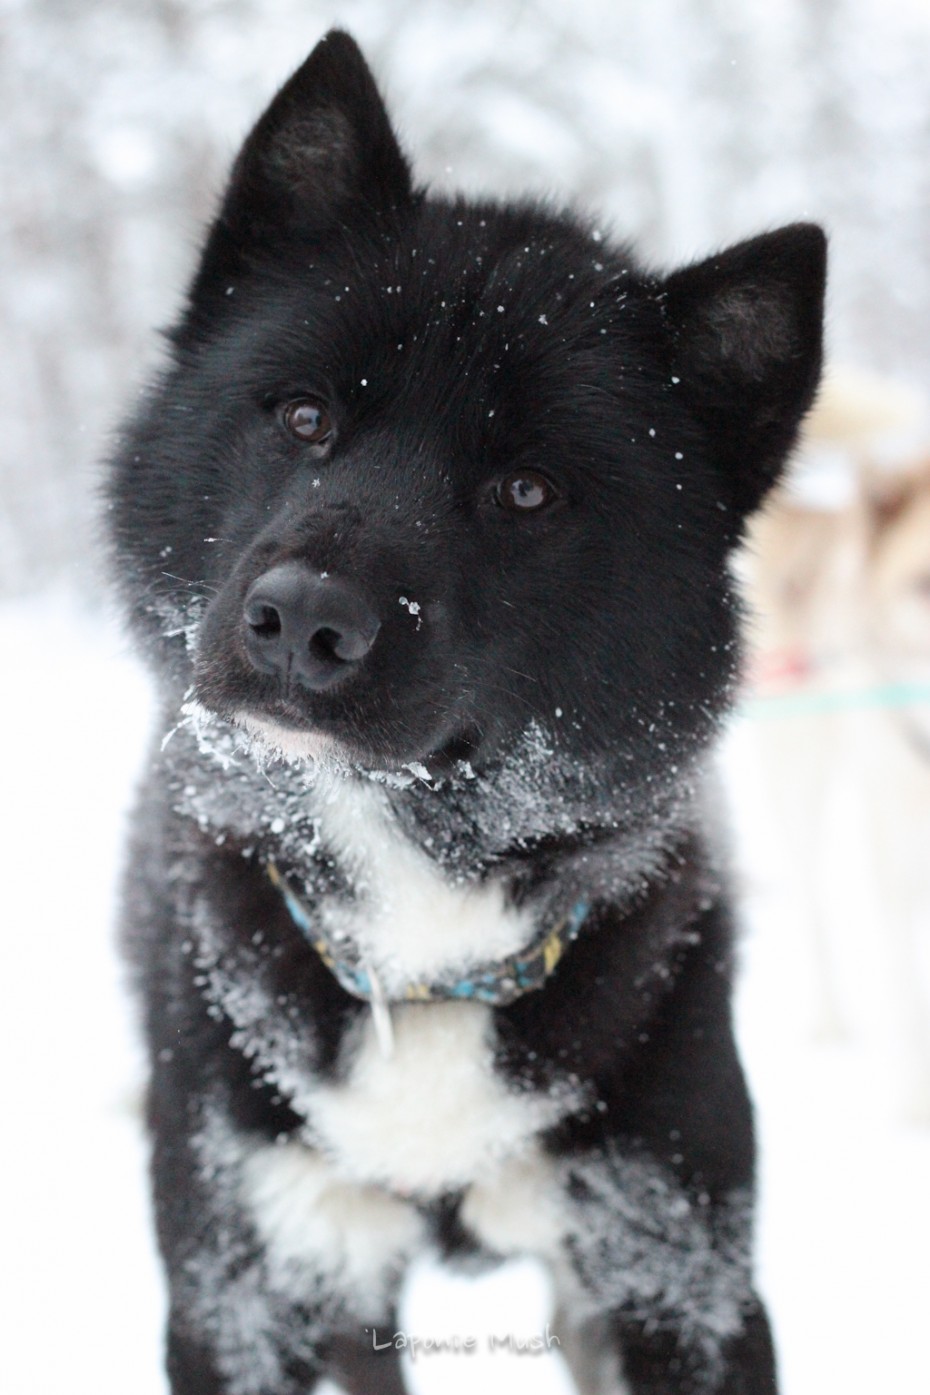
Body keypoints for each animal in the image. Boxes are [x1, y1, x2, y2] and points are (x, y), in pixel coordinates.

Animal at [107, 32, 819, 1395]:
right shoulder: (243, 1292)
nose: (302, 621)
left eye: (528, 491)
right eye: (305, 414)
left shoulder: (679, 1283)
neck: (423, 958)